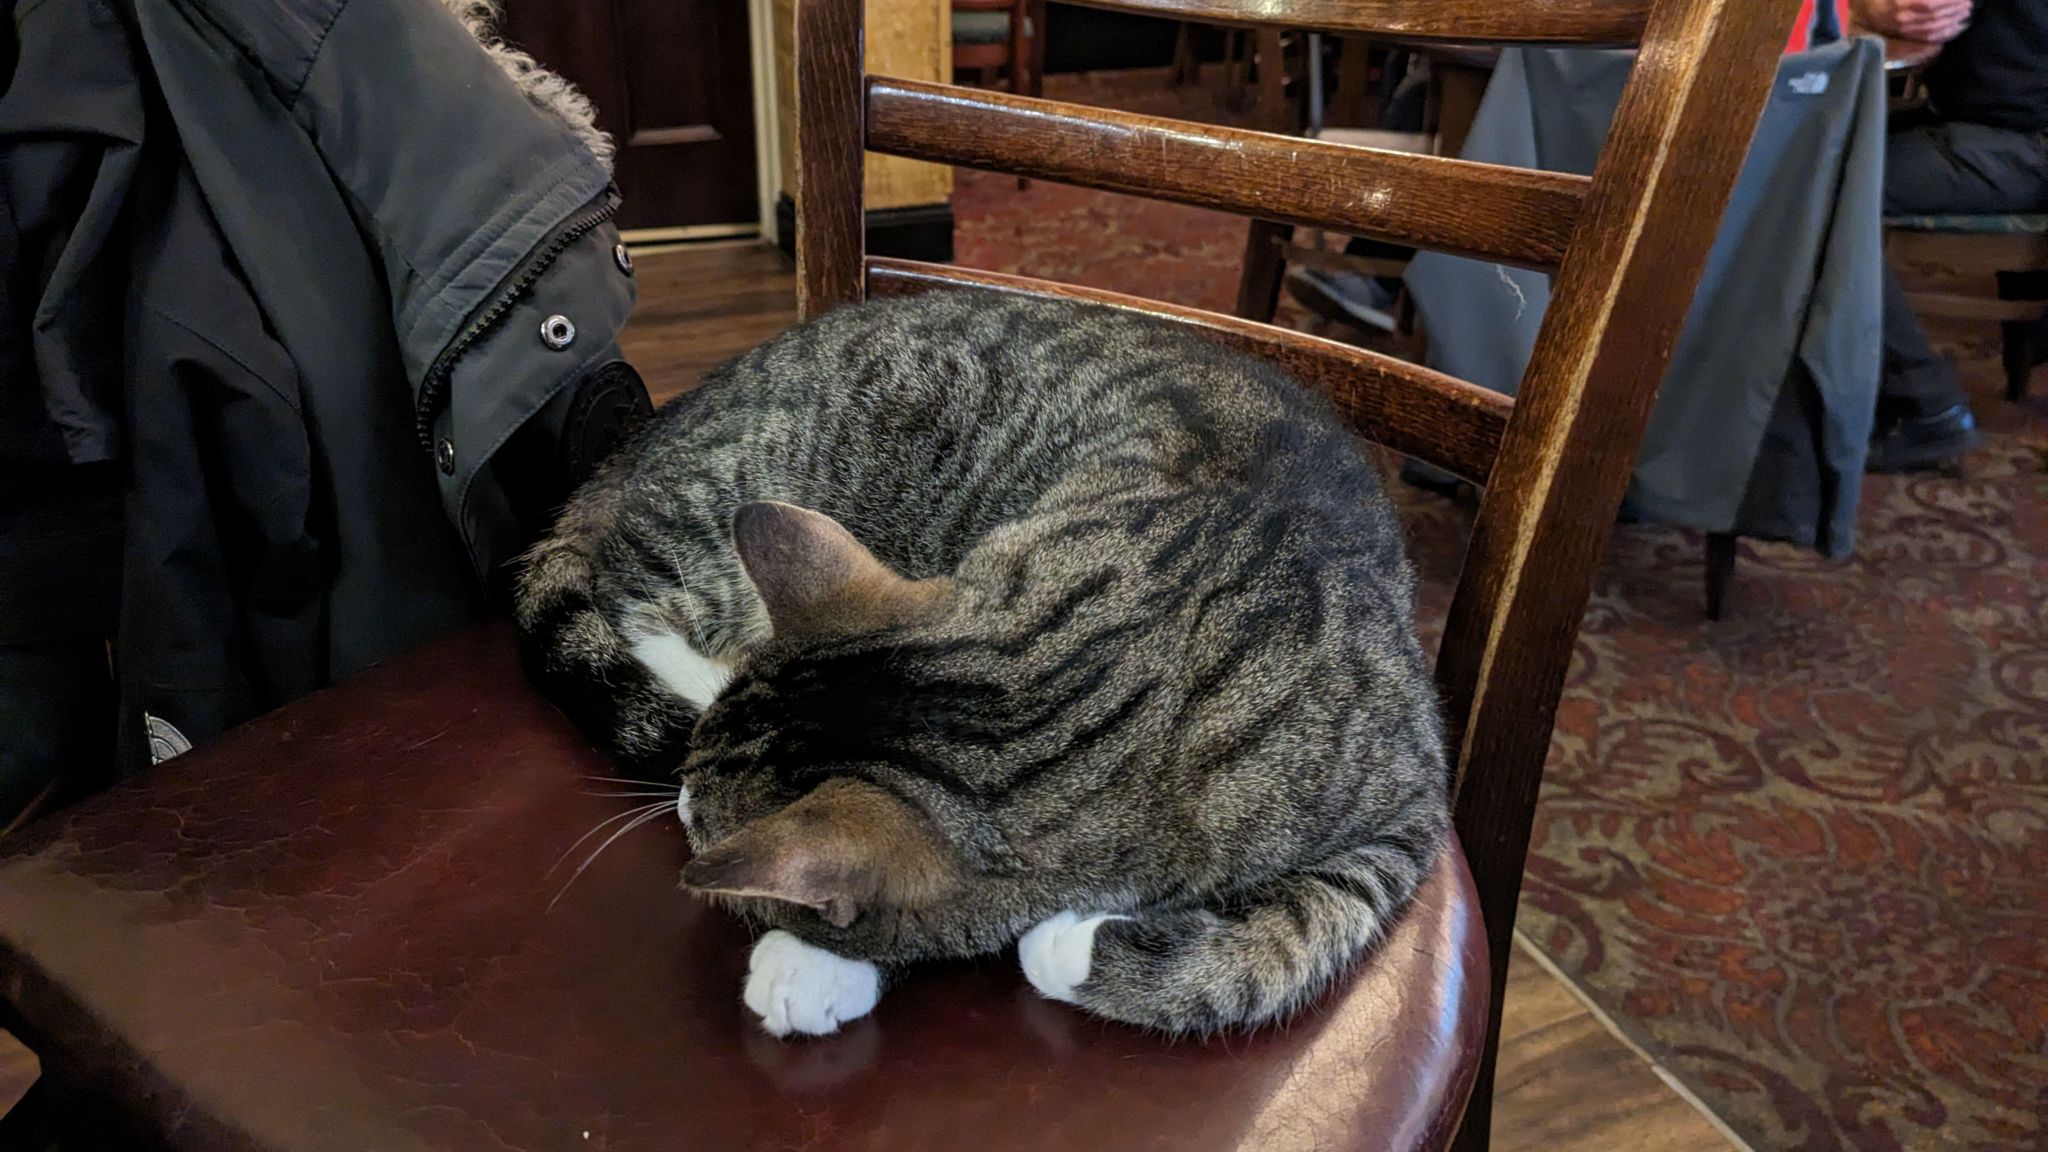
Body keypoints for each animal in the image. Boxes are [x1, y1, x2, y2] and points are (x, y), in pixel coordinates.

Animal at [512, 286, 1458, 1033]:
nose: (676, 797)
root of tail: (660, 426)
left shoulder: (1408, 815)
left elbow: (1285, 943)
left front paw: (1064, 950)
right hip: (722, 504)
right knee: (629, 596)